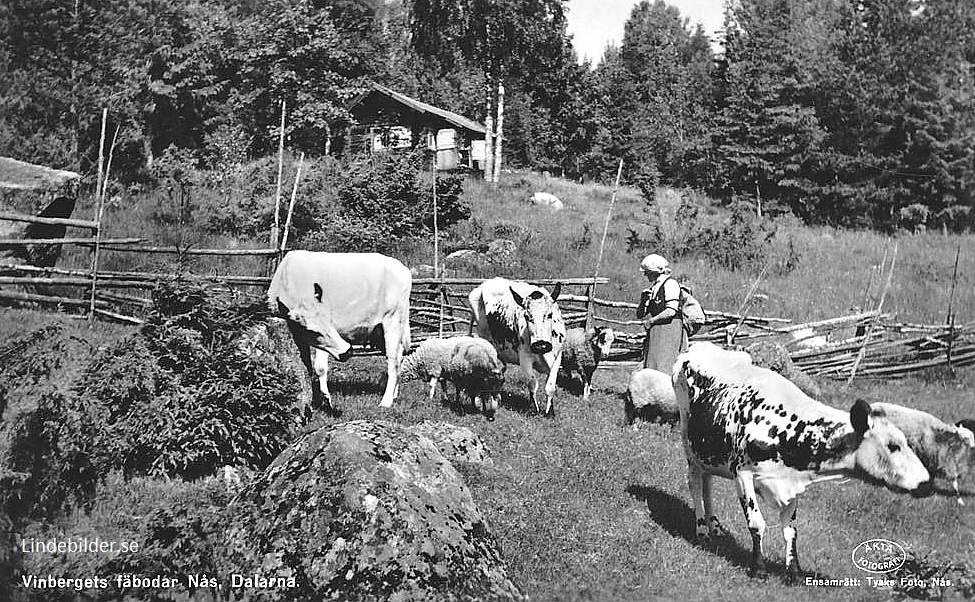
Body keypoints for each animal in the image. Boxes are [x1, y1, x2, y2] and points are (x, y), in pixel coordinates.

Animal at [268, 250, 414, 412]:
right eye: (312, 331)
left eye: (329, 320)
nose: (347, 352)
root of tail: (403, 269)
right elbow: (306, 366)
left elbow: (320, 367)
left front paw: (326, 400)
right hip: (381, 331)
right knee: (399, 358)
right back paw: (394, 395)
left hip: (392, 322)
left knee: (393, 362)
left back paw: (386, 401)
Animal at [470, 278, 568, 414]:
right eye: (526, 316)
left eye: (549, 314)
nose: (540, 345)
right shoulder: (525, 359)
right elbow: (532, 383)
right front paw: (534, 409)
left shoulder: (557, 358)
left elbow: (550, 387)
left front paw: (550, 412)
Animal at [672, 342, 932, 580]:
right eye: (893, 446)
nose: (926, 482)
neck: (786, 426)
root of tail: (698, 346)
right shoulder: (742, 474)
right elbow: (757, 523)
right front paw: (758, 569)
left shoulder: (792, 480)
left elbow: (790, 531)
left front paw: (794, 570)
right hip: (688, 441)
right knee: (694, 482)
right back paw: (702, 528)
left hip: (707, 451)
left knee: (707, 483)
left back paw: (714, 525)